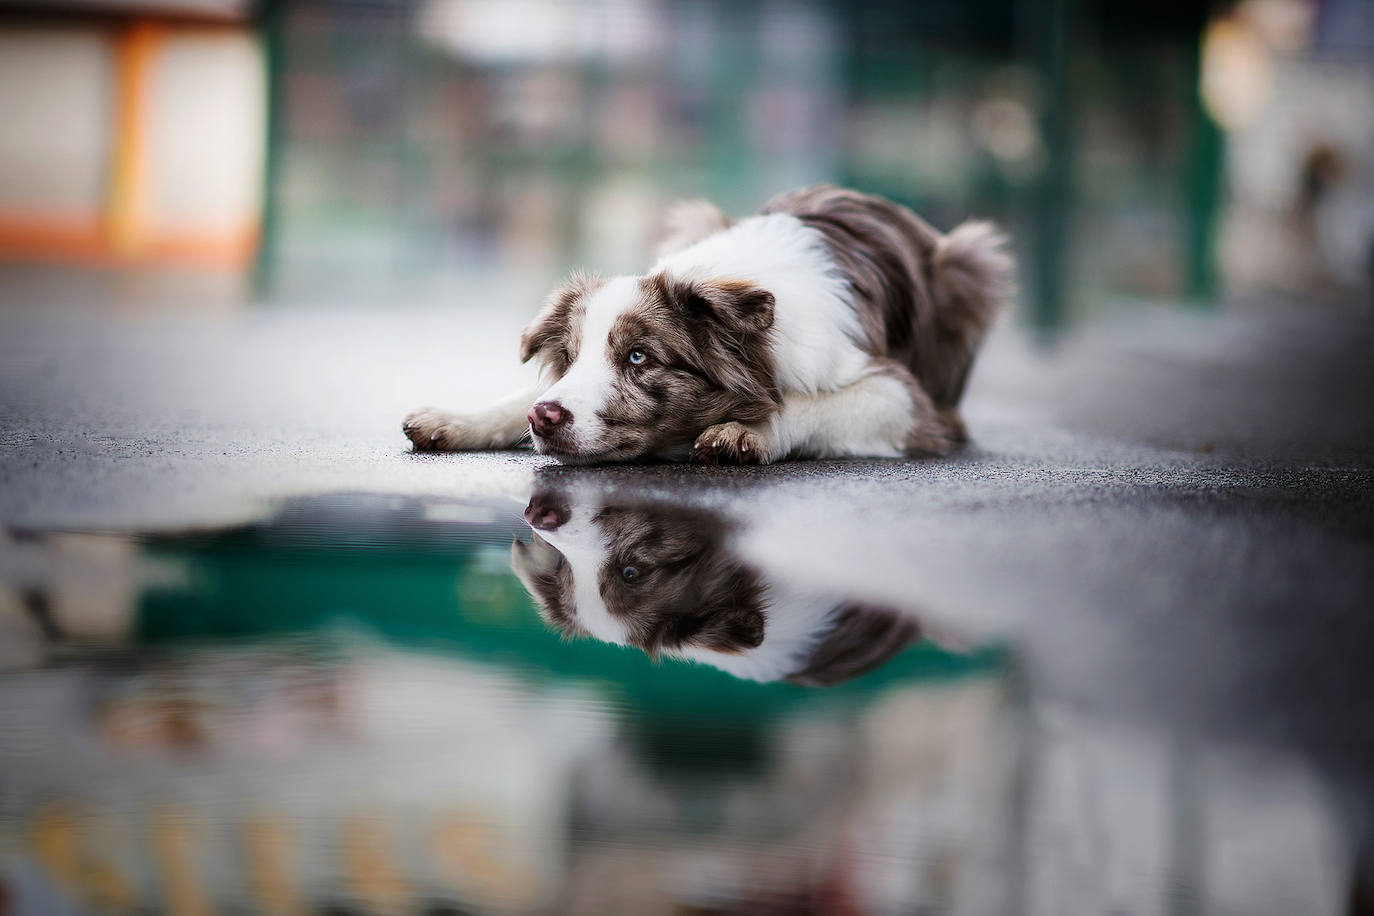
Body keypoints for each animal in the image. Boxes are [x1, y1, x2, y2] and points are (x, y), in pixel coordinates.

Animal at [401, 184, 1016, 466]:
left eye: (639, 357)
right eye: (570, 358)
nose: (544, 418)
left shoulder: (905, 401)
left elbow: (806, 404)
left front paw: (748, 430)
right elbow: (519, 396)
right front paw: (456, 419)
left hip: (972, 260)